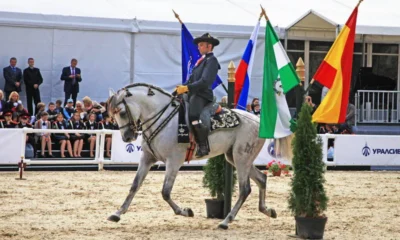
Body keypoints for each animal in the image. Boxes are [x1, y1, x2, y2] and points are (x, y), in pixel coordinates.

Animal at [107, 83, 282, 230]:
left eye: (122, 112)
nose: (127, 137)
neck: (162, 118)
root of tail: (257, 120)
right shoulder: (147, 158)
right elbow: (134, 186)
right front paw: (117, 213)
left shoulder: (174, 161)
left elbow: (165, 192)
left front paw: (185, 211)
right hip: (235, 157)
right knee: (261, 179)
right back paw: (267, 210)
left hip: (241, 157)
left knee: (245, 189)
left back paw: (226, 221)